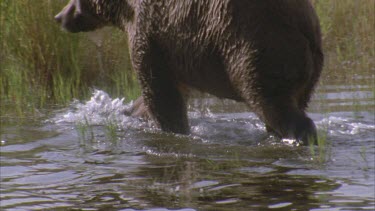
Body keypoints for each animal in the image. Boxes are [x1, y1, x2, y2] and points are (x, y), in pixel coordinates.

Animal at [55, 0, 324, 145]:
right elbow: (163, 91)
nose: (59, 16)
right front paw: (130, 111)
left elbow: (159, 94)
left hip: (257, 45)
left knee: (272, 101)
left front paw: (171, 130)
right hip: (307, 67)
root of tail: (305, 22)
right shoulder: (174, 52)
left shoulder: (150, 34)